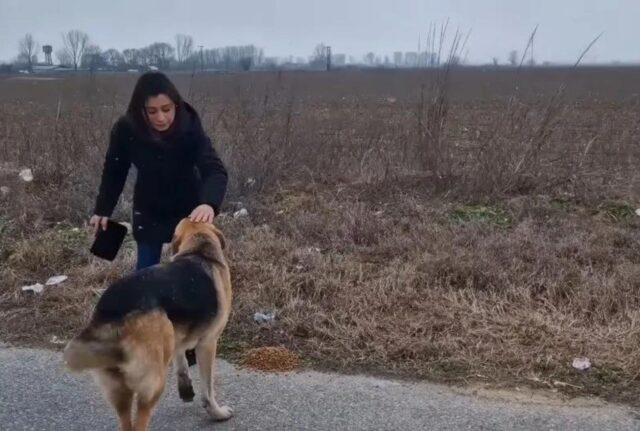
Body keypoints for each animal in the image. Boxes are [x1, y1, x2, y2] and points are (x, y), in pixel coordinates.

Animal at [62, 219, 231, 431]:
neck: (199, 249)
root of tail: (112, 311)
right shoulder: (208, 343)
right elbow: (208, 390)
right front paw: (217, 413)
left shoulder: (177, 336)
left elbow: (181, 364)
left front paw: (185, 390)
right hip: (153, 383)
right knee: (140, 422)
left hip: (121, 390)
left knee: (126, 423)